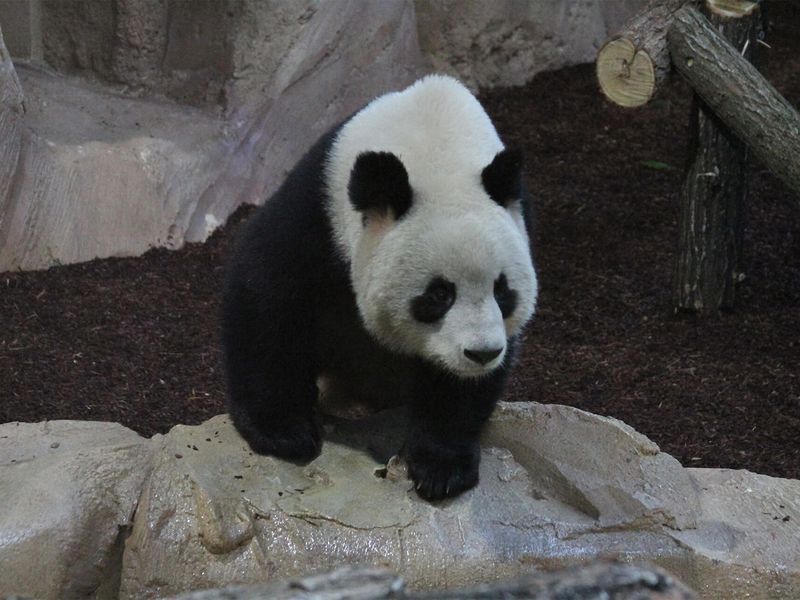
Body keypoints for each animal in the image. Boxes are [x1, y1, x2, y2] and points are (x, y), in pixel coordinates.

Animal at [222, 75, 540, 500]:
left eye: (502, 291)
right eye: (439, 294)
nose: (482, 353)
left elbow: (458, 386)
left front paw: (441, 467)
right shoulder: (318, 209)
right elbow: (266, 295)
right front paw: (282, 432)